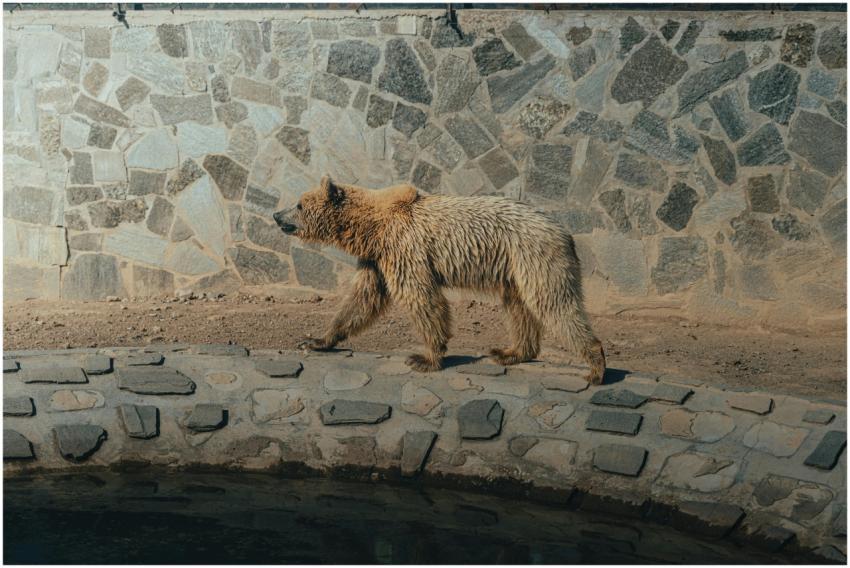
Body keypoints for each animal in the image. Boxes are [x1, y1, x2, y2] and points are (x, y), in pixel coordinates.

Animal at [273, 175, 606, 384]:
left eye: (299, 203)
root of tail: (565, 232)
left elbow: (421, 297)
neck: (370, 228)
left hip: (534, 256)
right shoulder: (376, 260)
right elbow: (361, 300)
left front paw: (425, 358)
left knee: (553, 303)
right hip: (515, 271)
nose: (277, 215)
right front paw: (316, 340)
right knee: (519, 308)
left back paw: (595, 366)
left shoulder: (404, 247)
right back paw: (510, 352)